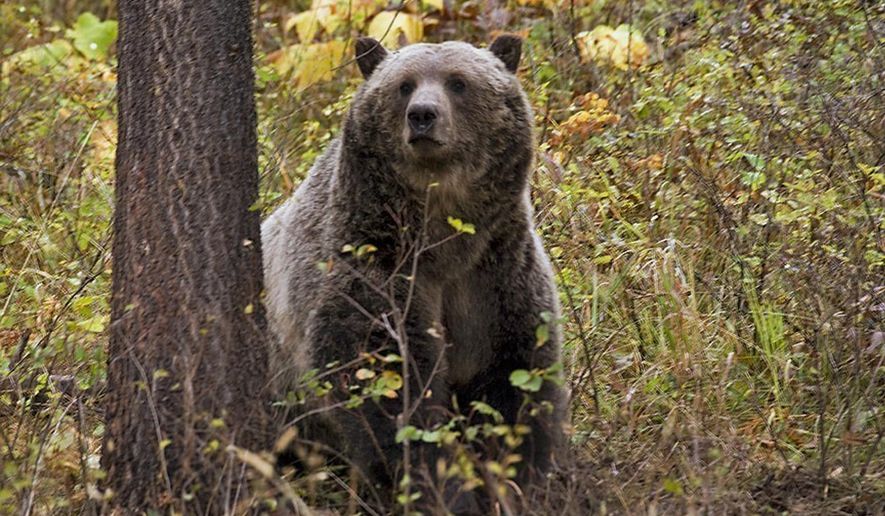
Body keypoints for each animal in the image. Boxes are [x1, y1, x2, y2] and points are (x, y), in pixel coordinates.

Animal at [261, 35, 565, 511]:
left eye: (458, 82)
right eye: (404, 85)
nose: (422, 115)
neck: (444, 236)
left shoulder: (496, 275)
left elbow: (515, 381)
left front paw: (517, 480)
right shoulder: (375, 266)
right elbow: (387, 386)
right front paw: (440, 489)